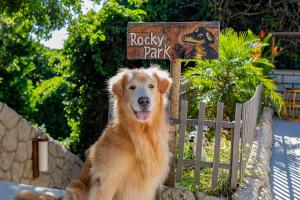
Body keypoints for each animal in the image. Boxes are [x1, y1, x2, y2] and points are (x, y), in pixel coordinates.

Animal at [15, 65, 172, 199]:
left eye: (151, 86)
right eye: (132, 87)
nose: (144, 101)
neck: (140, 134)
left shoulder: (146, 187)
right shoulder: (107, 181)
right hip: (76, 188)